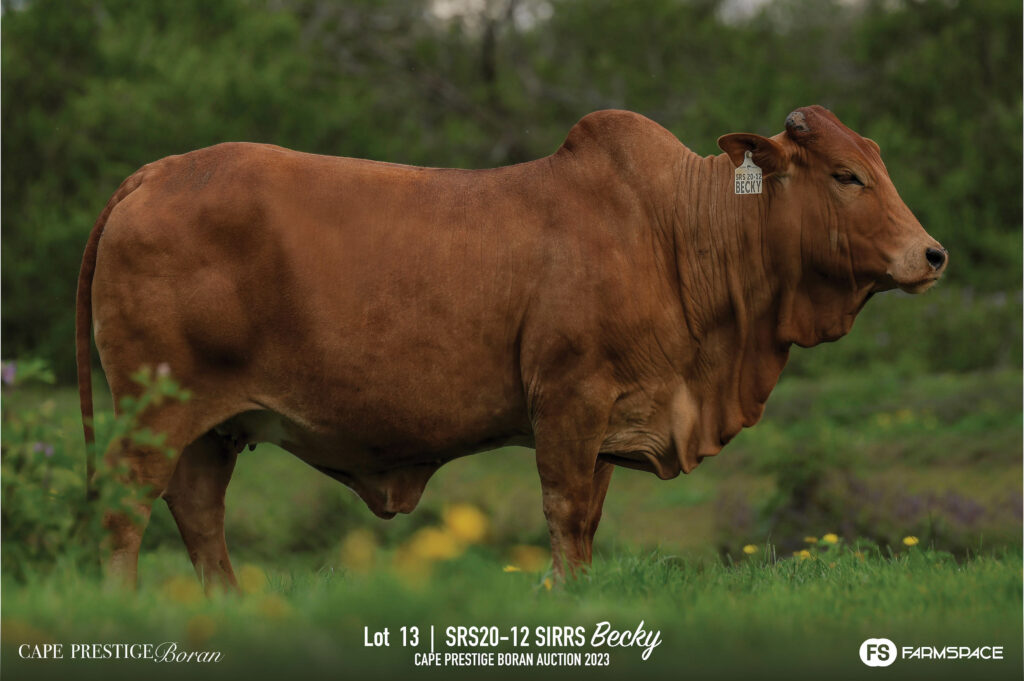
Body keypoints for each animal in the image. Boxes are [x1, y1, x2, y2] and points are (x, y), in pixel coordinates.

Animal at [76, 106, 946, 590]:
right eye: (845, 174)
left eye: (875, 164)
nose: (931, 253)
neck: (677, 232)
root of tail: (154, 172)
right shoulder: (568, 398)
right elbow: (563, 514)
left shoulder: (610, 421)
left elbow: (588, 520)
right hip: (154, 411)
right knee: (127, 505)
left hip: (211, 426)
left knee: (198, 512)